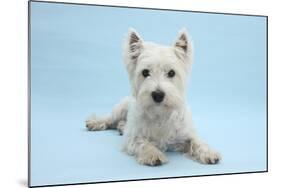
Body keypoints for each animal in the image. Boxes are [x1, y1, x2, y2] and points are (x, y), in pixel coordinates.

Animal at [85, 28, 221, 166]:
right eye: (145, 72)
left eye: (171, 73)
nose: (158, 95)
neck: (160, 113)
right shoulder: (133, 137)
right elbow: (142, 142)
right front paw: (153, 154)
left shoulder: (186, 133)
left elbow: (197, 142)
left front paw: (209, 153)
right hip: (121, 108)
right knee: (110, 118)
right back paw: (95, 122)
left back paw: (121, 127)